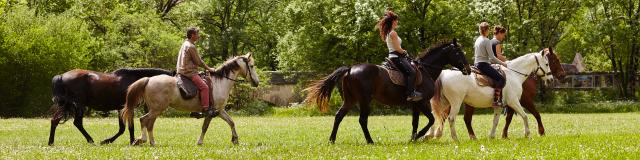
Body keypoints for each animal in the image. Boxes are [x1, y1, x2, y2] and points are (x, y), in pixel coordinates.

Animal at [121, 53, 258, 146]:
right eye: (251, 66)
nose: (257, 82)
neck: (219, 82)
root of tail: (149, 80)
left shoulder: (220, 110)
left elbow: (231, 122)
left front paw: (235, 139)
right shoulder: (211, 112)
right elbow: (205, 127)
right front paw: (199, 142)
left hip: (155, 109)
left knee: (149, 124)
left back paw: (152, 142)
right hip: (157, 109)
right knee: (143, 120)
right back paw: (143, 140)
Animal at [304, 39, 470, 144]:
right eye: (459, 53)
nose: (468, 70)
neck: (426, 70)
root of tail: (350, 69)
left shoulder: (415, 104)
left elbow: (415, 122)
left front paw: (413, 138)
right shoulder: (422, 102)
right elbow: (430, 120)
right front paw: (419, 137)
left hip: (350, 100)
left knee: (339, 116)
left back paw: (332, 140)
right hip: (364, 100)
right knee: (362, 120)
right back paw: (370, 141)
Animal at [424, 49, 556, 140]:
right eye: (547, 64)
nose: (551, 79)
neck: (514, 74)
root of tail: (444, 73)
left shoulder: (499, 106)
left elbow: (495, 121)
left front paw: (492, 136)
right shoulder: (514, 102)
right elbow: (525, 116)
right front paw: (527, 134)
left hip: (445, 102)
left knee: (436, 116)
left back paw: (430, 135)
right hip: (455, 103)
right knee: (451, 118)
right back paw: (455, 138)